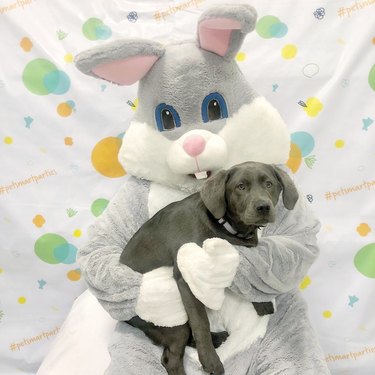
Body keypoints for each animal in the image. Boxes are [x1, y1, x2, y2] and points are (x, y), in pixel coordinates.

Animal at [120, 162, 300, 375]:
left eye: (269, 184)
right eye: (240, 187)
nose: (263, 207)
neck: (226, 227)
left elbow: (247, 276)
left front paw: (260, 303)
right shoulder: (186, 279)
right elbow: (201, 322)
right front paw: (209, 360)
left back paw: (219, 338)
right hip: (171, 319)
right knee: (172, 357)